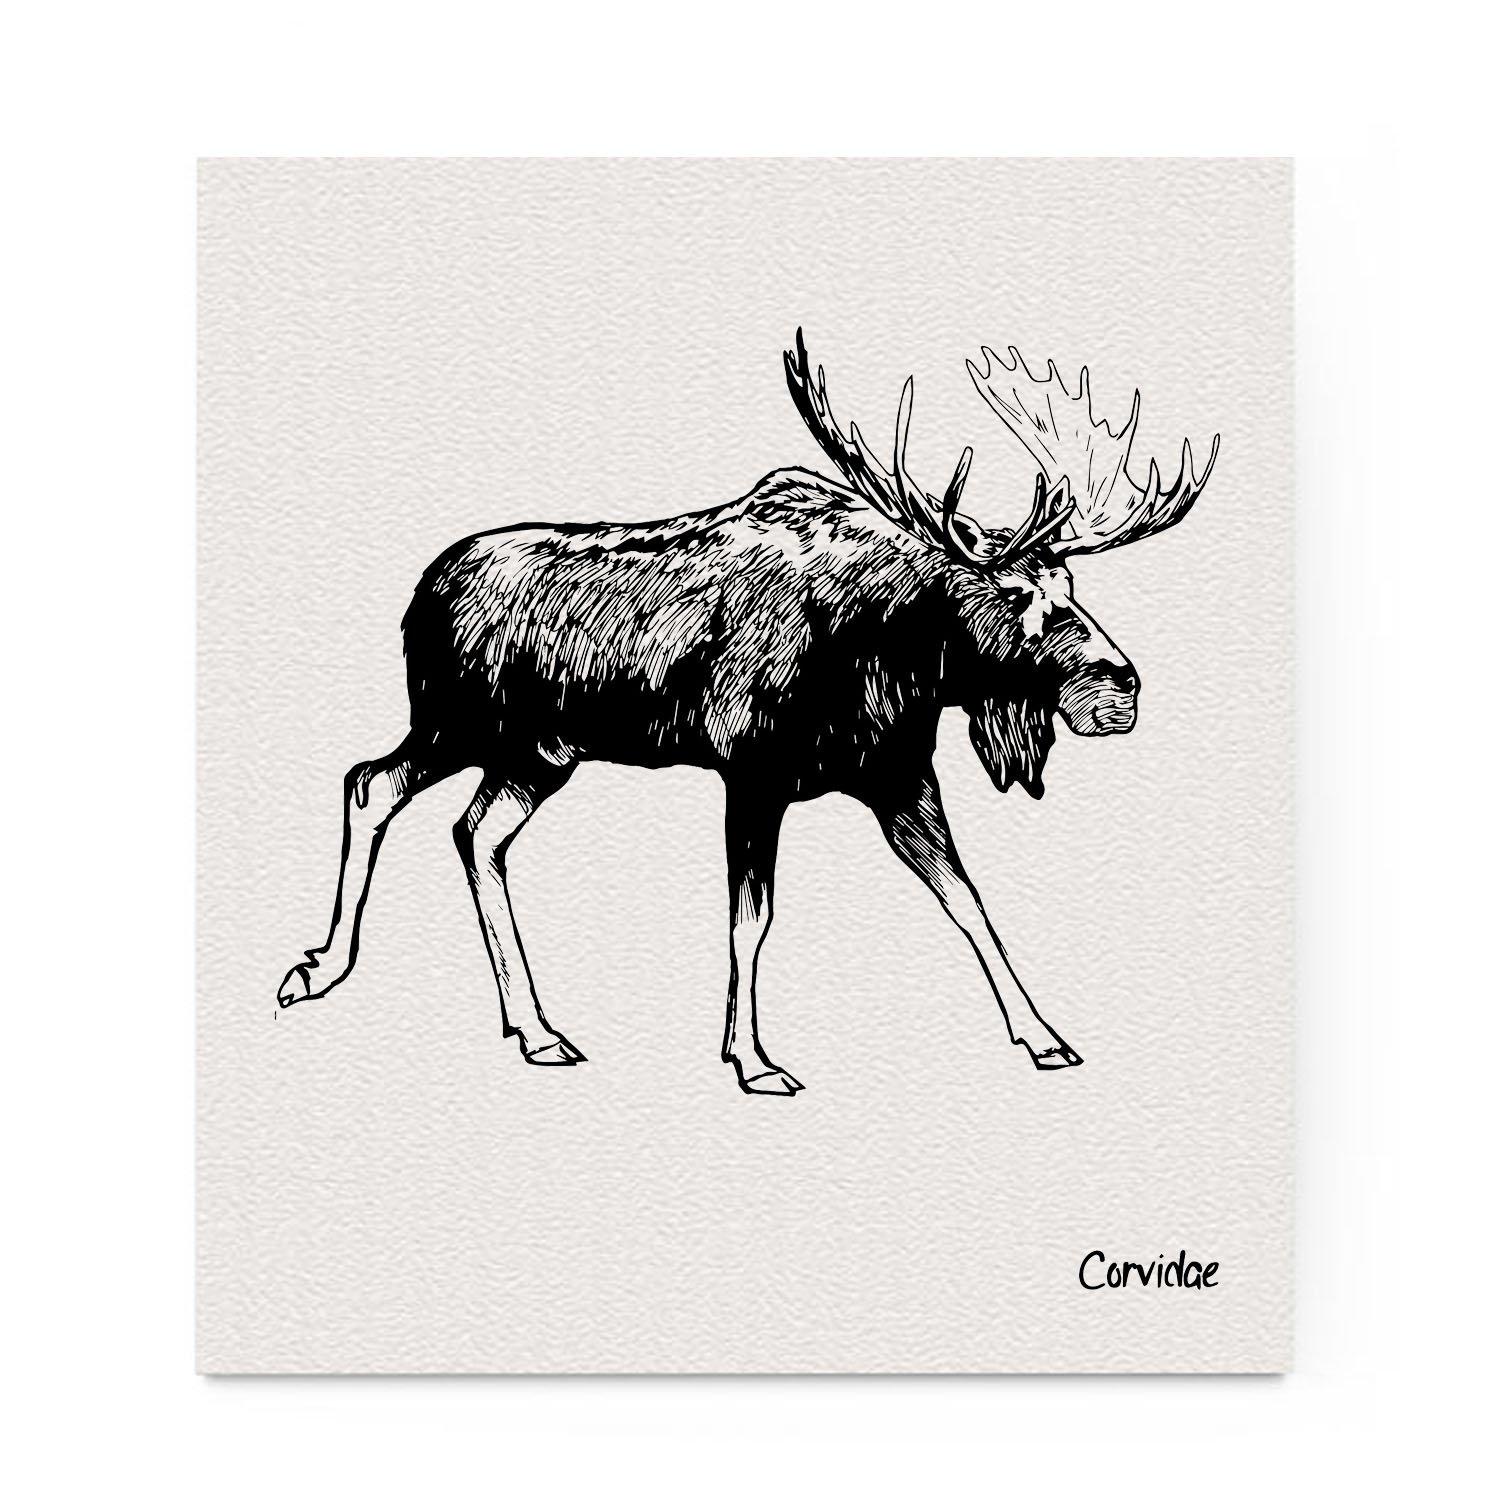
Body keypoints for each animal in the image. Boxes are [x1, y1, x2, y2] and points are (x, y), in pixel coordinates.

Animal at [277, 332, 1219, 1095]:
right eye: (1016, 590)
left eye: (1072, 584)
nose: (1121, 687)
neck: (898, 651)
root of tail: (420, 592)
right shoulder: (753, 772)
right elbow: (751, 919)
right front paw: (753, 1059)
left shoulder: (899, 776)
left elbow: (968, 900)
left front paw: (1045, 1036)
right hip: (461, 724)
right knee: (372, 783)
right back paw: (320, 970)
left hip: (540, 754)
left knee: (474, 832)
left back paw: (536, 1030)